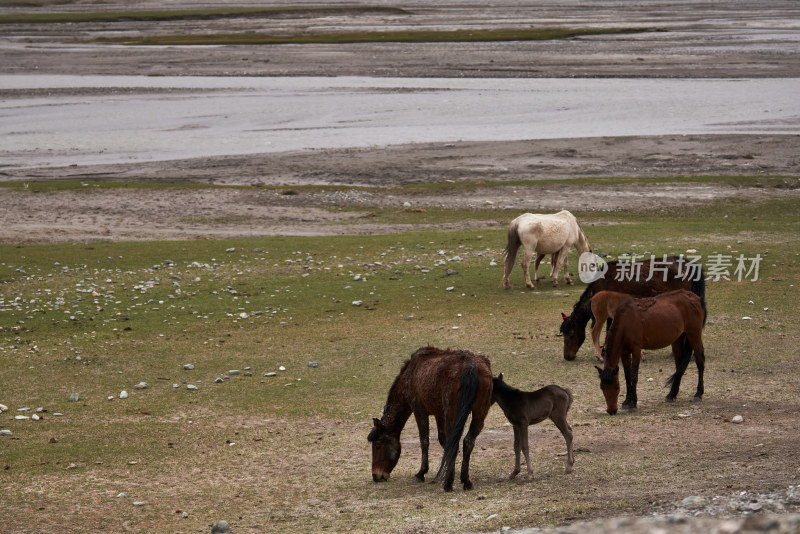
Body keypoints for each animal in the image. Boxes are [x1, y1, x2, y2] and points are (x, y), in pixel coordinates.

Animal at [368, 348, 494, 494]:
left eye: (377, 445)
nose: (376, 475)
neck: (409, 374)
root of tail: (471, 366)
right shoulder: (439, 414)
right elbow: (443, 441)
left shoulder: (419, 410)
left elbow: (425, 441)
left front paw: (421, 473)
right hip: (480, 412)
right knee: (467, 441)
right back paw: (466, 481)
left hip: (452, 412)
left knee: (454, 443)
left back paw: (448, 484)